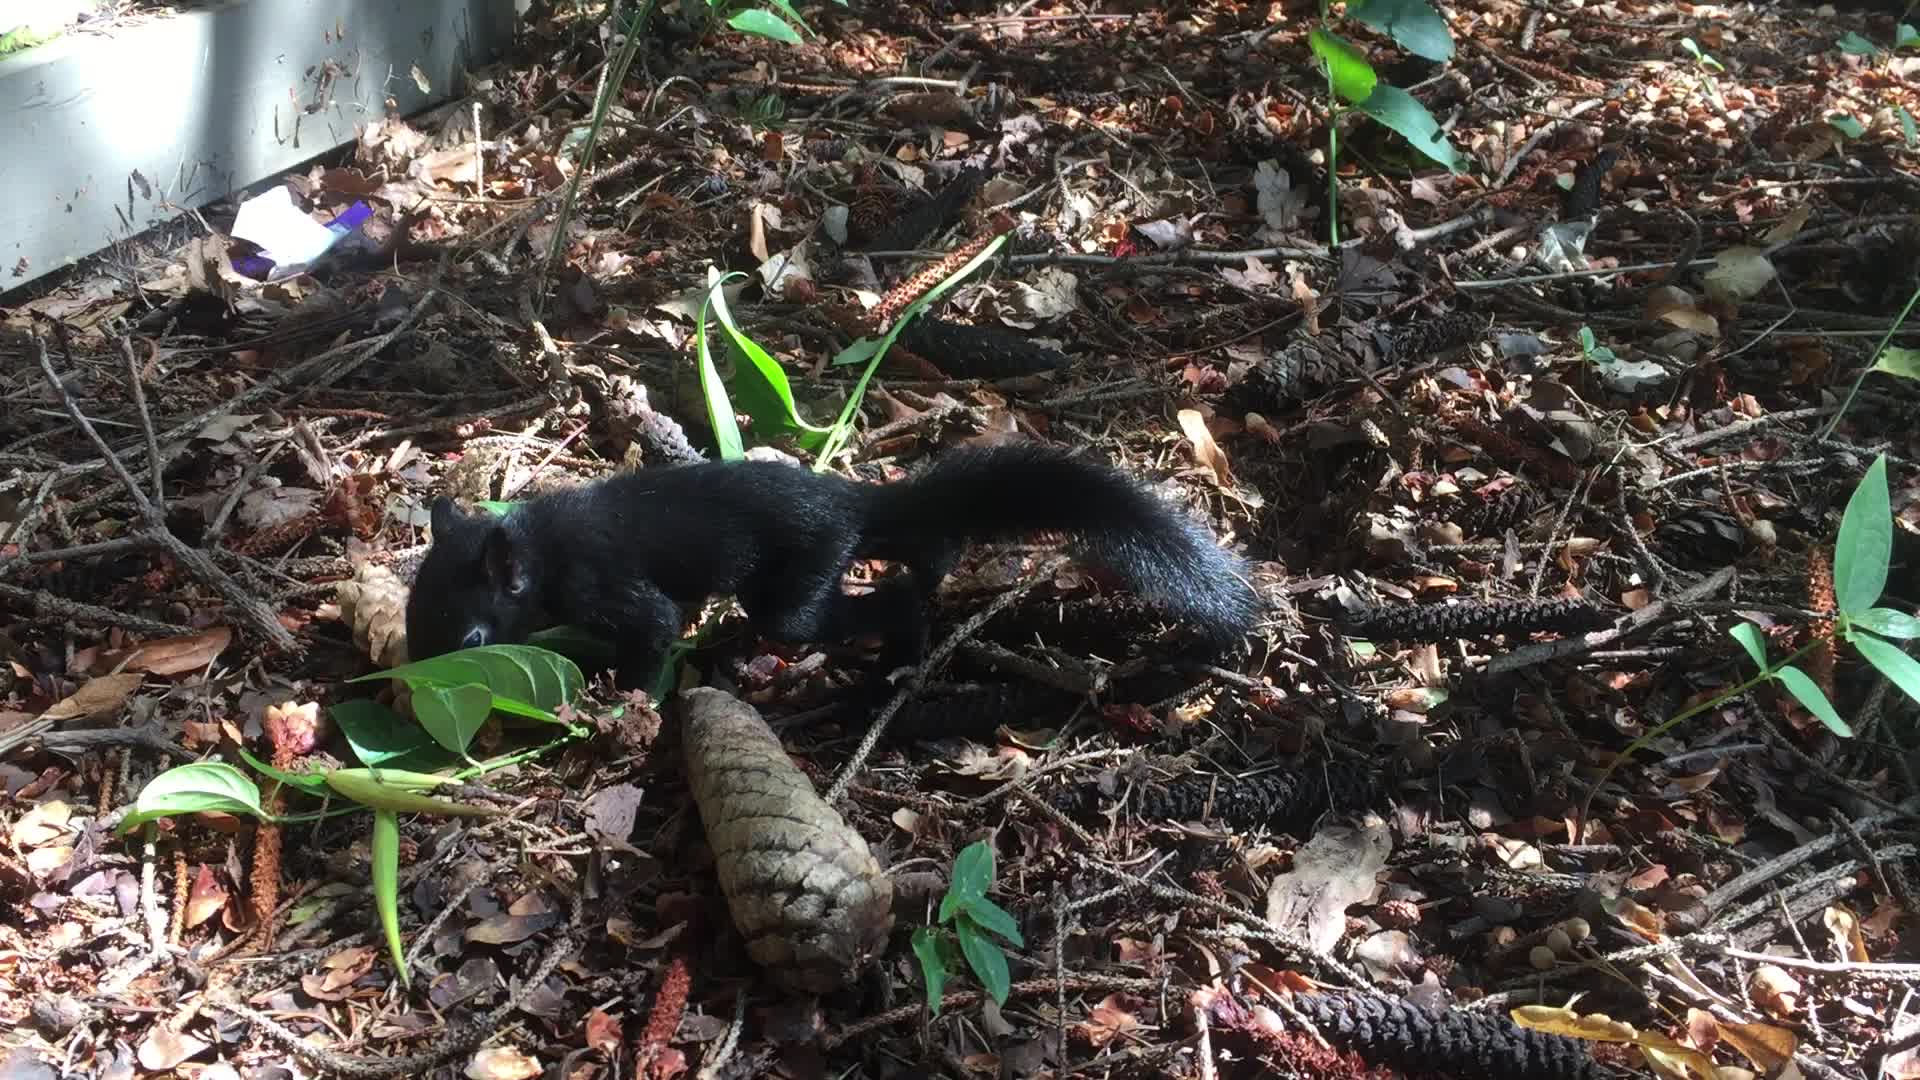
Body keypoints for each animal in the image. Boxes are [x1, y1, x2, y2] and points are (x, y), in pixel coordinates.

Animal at [403, 443, 1262, 693]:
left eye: (471, 639)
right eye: (412, 619)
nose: (409, 686)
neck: (538, 546)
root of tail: (850, 502)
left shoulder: (608, 586)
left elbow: (653, 630)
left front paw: (626, 700)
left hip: (796, 582)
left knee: (864, 604)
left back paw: (900, 657)